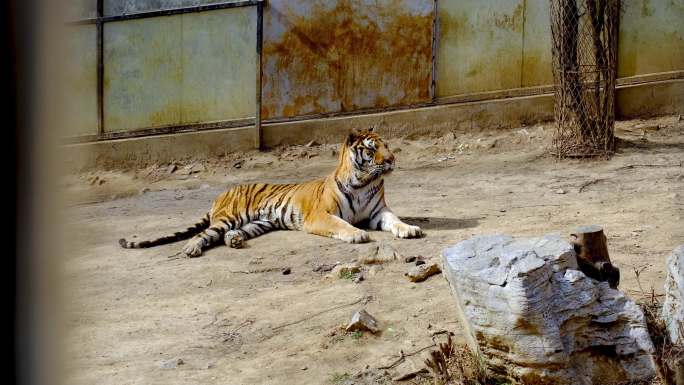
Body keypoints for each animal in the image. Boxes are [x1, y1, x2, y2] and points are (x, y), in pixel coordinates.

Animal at [120, 127, 424, 256]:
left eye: (387, 146)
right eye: (372, 149)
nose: (392, 160)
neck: (364, 182)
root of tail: (221, 194)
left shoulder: (378, 212)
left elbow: (395, 220)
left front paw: (410, 229)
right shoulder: (320, 215)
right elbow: (341, 224)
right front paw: (357, 234)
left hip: (259, 222)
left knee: (232, 233)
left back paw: (234, 241)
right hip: (229, 217)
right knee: (205, 233)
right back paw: (191, 247)